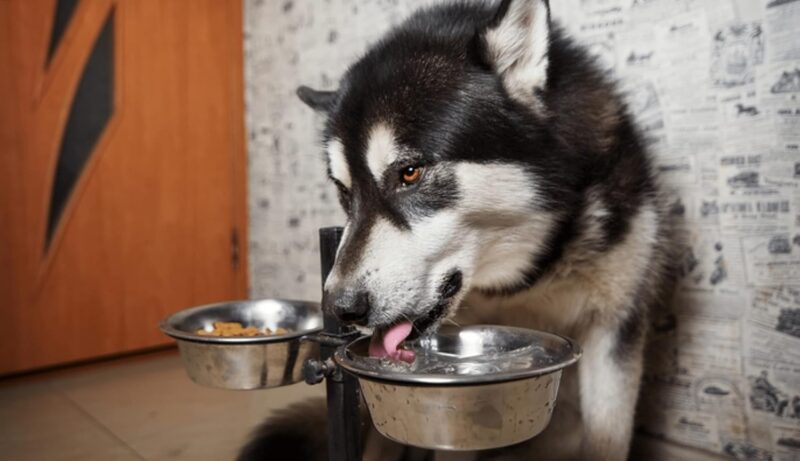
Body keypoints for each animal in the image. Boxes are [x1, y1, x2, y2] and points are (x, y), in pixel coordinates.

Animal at [242, 0, 676, 460]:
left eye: (409, 173)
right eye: (344, 191)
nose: (340, 306)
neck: (524, 283)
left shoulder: (614, 327)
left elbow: (607, 436)